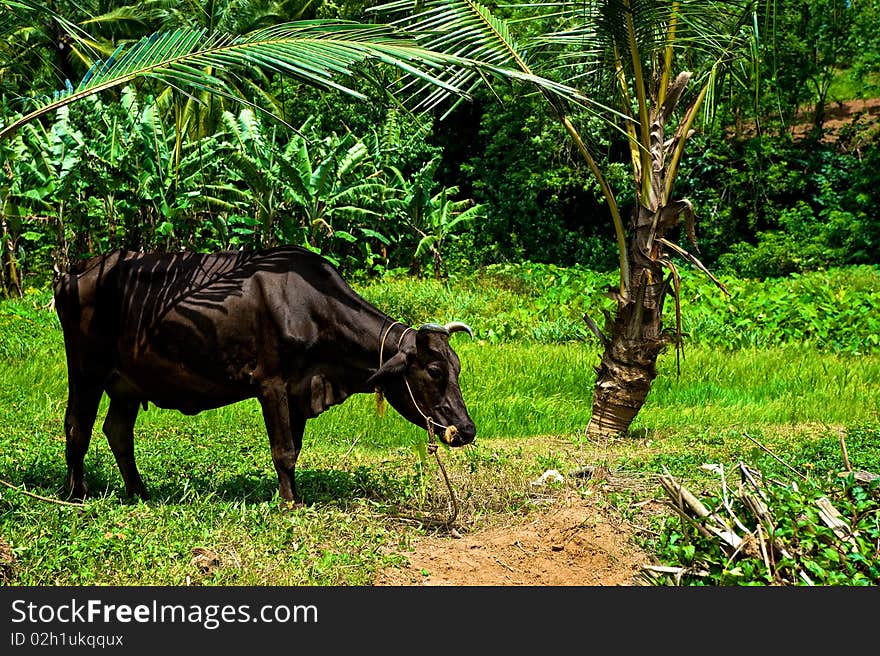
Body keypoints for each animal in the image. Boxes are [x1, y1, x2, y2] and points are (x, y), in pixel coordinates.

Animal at [51, 246, 478, 502]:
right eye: (435, 370)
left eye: (458, 367)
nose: (467, 429)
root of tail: (77, 272)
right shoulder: (271, 383)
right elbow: (283, 450)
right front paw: (290, 504)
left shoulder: (303, 389)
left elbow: (295, 449)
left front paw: (291, 495)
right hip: (87, 368)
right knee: (77, 426)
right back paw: (77, 493)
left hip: (128, 382)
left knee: (118, 431)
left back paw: (140, 492)